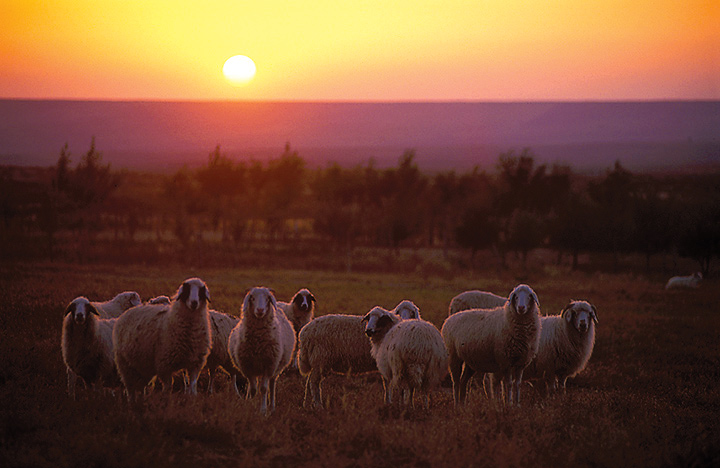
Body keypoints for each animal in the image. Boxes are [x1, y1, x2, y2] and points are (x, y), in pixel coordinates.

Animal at [228, 286, 296, 414]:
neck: (258, 341)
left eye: (267, 299)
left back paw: (272, 406)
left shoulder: (269, 365)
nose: (260, 310)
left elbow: (264, 388)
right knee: (253, 385)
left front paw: (263, 410)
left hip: (276, 368)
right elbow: (253, 388)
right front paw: (250, 403)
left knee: (272, 384)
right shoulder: (248, 366)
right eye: (252, 298)